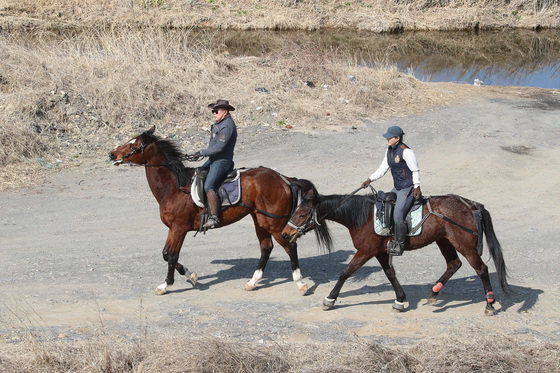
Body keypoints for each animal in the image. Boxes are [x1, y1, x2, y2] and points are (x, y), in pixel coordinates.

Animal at [109, 126, 326, 294]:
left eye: (133, 145)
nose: (112, 154)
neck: (174, 187)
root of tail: (284, 179)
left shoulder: (179, 228)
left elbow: (171, 256)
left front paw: (165, 285)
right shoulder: (173, 229)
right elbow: (166, 254)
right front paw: (191, 276)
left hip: (275, 223)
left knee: (290, 246)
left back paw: (300, 283)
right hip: (260, 220)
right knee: (266, 248)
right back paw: (252, 282)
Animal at [280, 180, 508, 314]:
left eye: (302, 214)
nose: (285, 234)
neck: (362, 216)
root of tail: (472, 205)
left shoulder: (366, 251)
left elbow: (346, 272)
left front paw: (330, 299)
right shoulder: (380, 252)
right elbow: (390, 274)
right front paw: (400, 300)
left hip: (465, 244)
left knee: (482, 269)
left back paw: (489, 304)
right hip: (445, 241)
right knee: (453, 264)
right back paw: (433, 294)